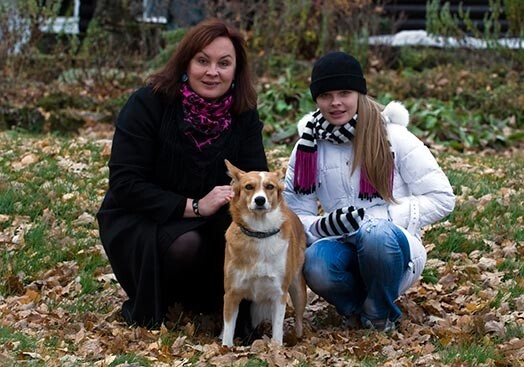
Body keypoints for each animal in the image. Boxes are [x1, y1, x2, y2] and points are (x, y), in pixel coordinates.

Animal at [221, 160, 308, 346]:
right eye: (248, 187)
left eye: (270, 186)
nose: (260, 200)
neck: (259, 233)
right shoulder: (231, 294)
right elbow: (228, 330)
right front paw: (226, 347)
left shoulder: (279, 294)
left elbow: (277, 330)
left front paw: (276, 348)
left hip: (297, 288)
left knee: (298, 318)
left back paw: (297, 337)